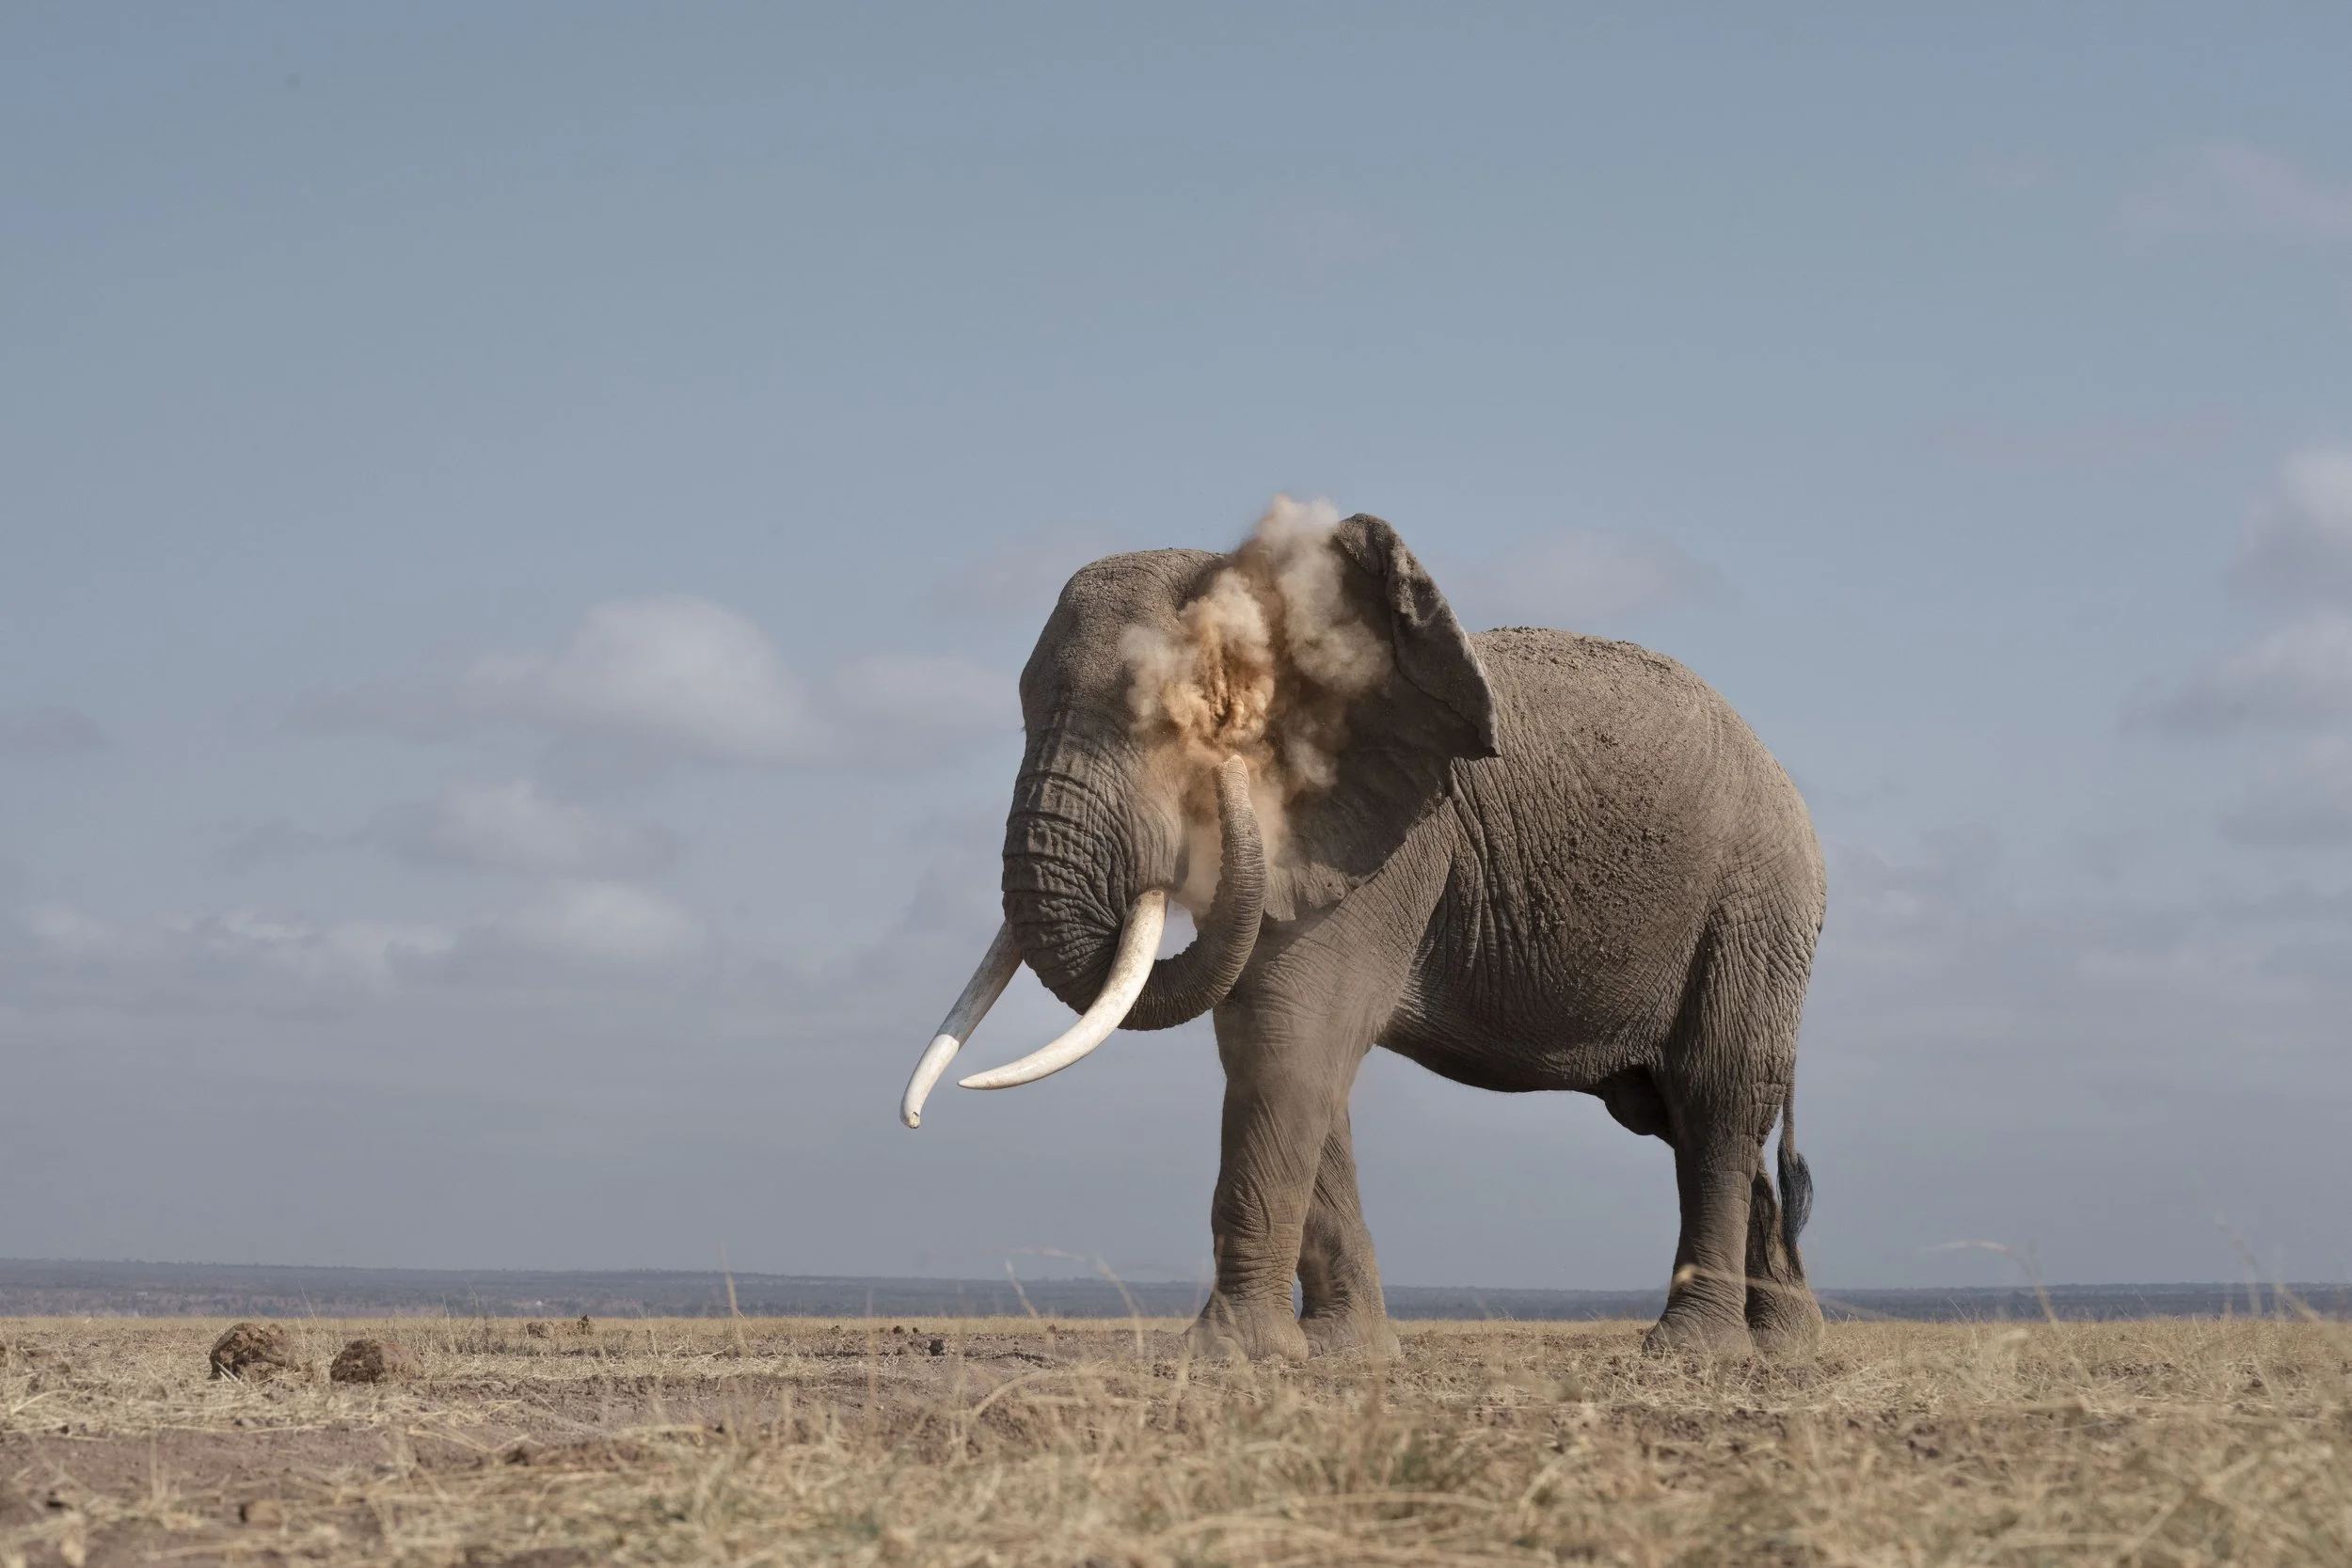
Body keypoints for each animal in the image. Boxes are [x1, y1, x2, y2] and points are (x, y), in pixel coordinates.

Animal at [900, 511, 1826, 1361]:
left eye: (1185, 714)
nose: (1223, 774)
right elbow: (1278, 1049)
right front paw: (1343, 1352)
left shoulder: (1391, 836)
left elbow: (1293, 1037)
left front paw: (1230, 1354)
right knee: (1679, 1113)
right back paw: (1786, 1344)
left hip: (1755, 904)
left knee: (1717, 1095)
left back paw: (1696, 1350)